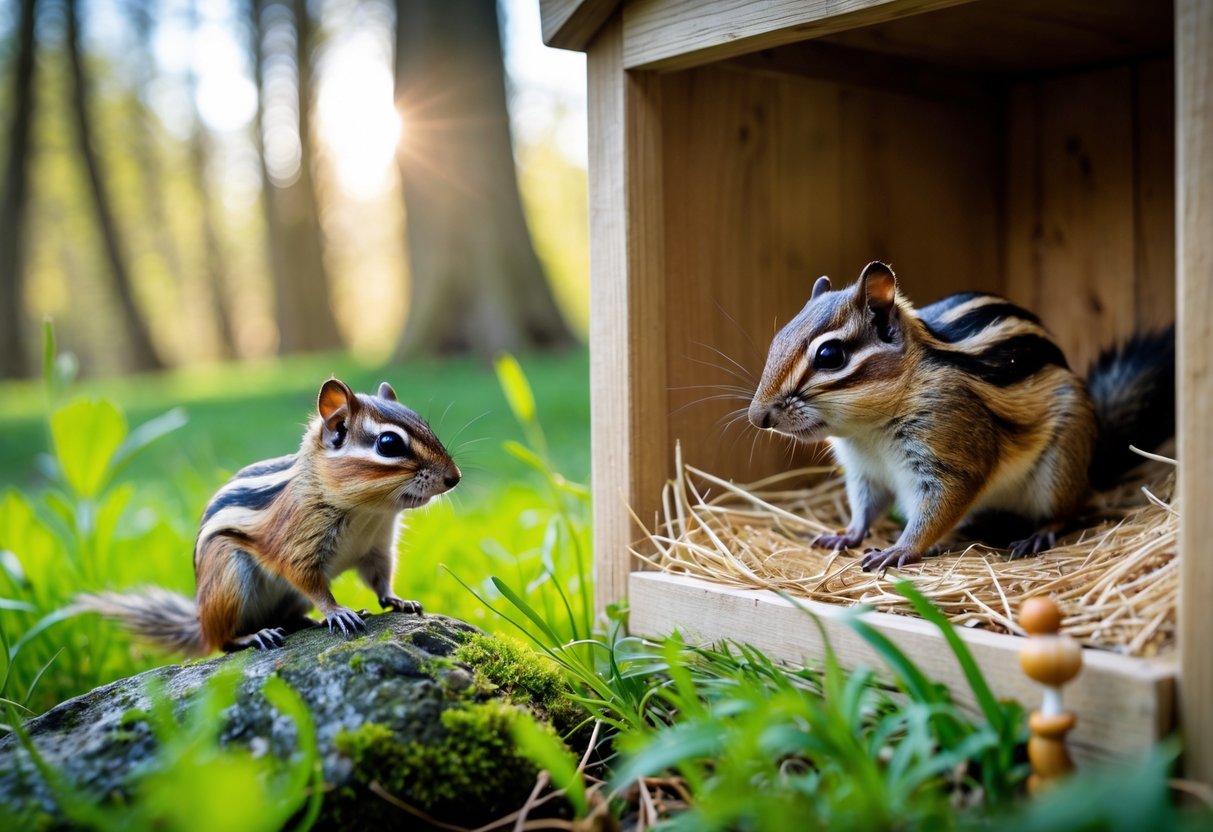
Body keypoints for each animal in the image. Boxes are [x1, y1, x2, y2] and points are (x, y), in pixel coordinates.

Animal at [76, 378, 461, 654]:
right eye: (389, 444)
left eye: (422, 423)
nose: (454, 477)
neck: (368, 512)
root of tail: (201, 622)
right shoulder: (296, 544)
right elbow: (310, 581)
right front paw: (337, 611)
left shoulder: (377, 547)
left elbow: (380, 580)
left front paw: (396, 599)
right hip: (229, 577)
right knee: (223, 641)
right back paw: (255, 636)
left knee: (289, 617)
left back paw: (309, 623)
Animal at [748, 261, 1174, 573]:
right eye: (777, 339)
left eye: (829, 355)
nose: (757, 417)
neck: (868, 431)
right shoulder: (864, 471)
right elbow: (864, 508)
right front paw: (847, 535)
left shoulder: (950, 455)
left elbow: (938, 508)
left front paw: (901, 549)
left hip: (1060, 469)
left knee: (1068, 510)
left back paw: (1039, 534)